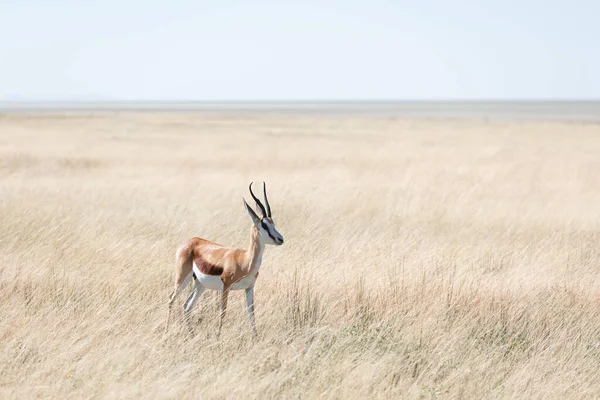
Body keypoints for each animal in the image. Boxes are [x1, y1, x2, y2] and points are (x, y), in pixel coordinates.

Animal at [165, 181, 284, 334]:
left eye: (273, 223)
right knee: (171, 299)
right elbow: (223, 312)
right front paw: (218, 336)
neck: (245, 261)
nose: (280, 239)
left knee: (187, 305)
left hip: (200, 285)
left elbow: (251, 314)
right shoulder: (226, 286)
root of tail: (190, 241)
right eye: (264, 224)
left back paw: (191, 335)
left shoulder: (249, 288)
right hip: (182, 279)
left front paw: (256, 337)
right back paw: (167, 331)